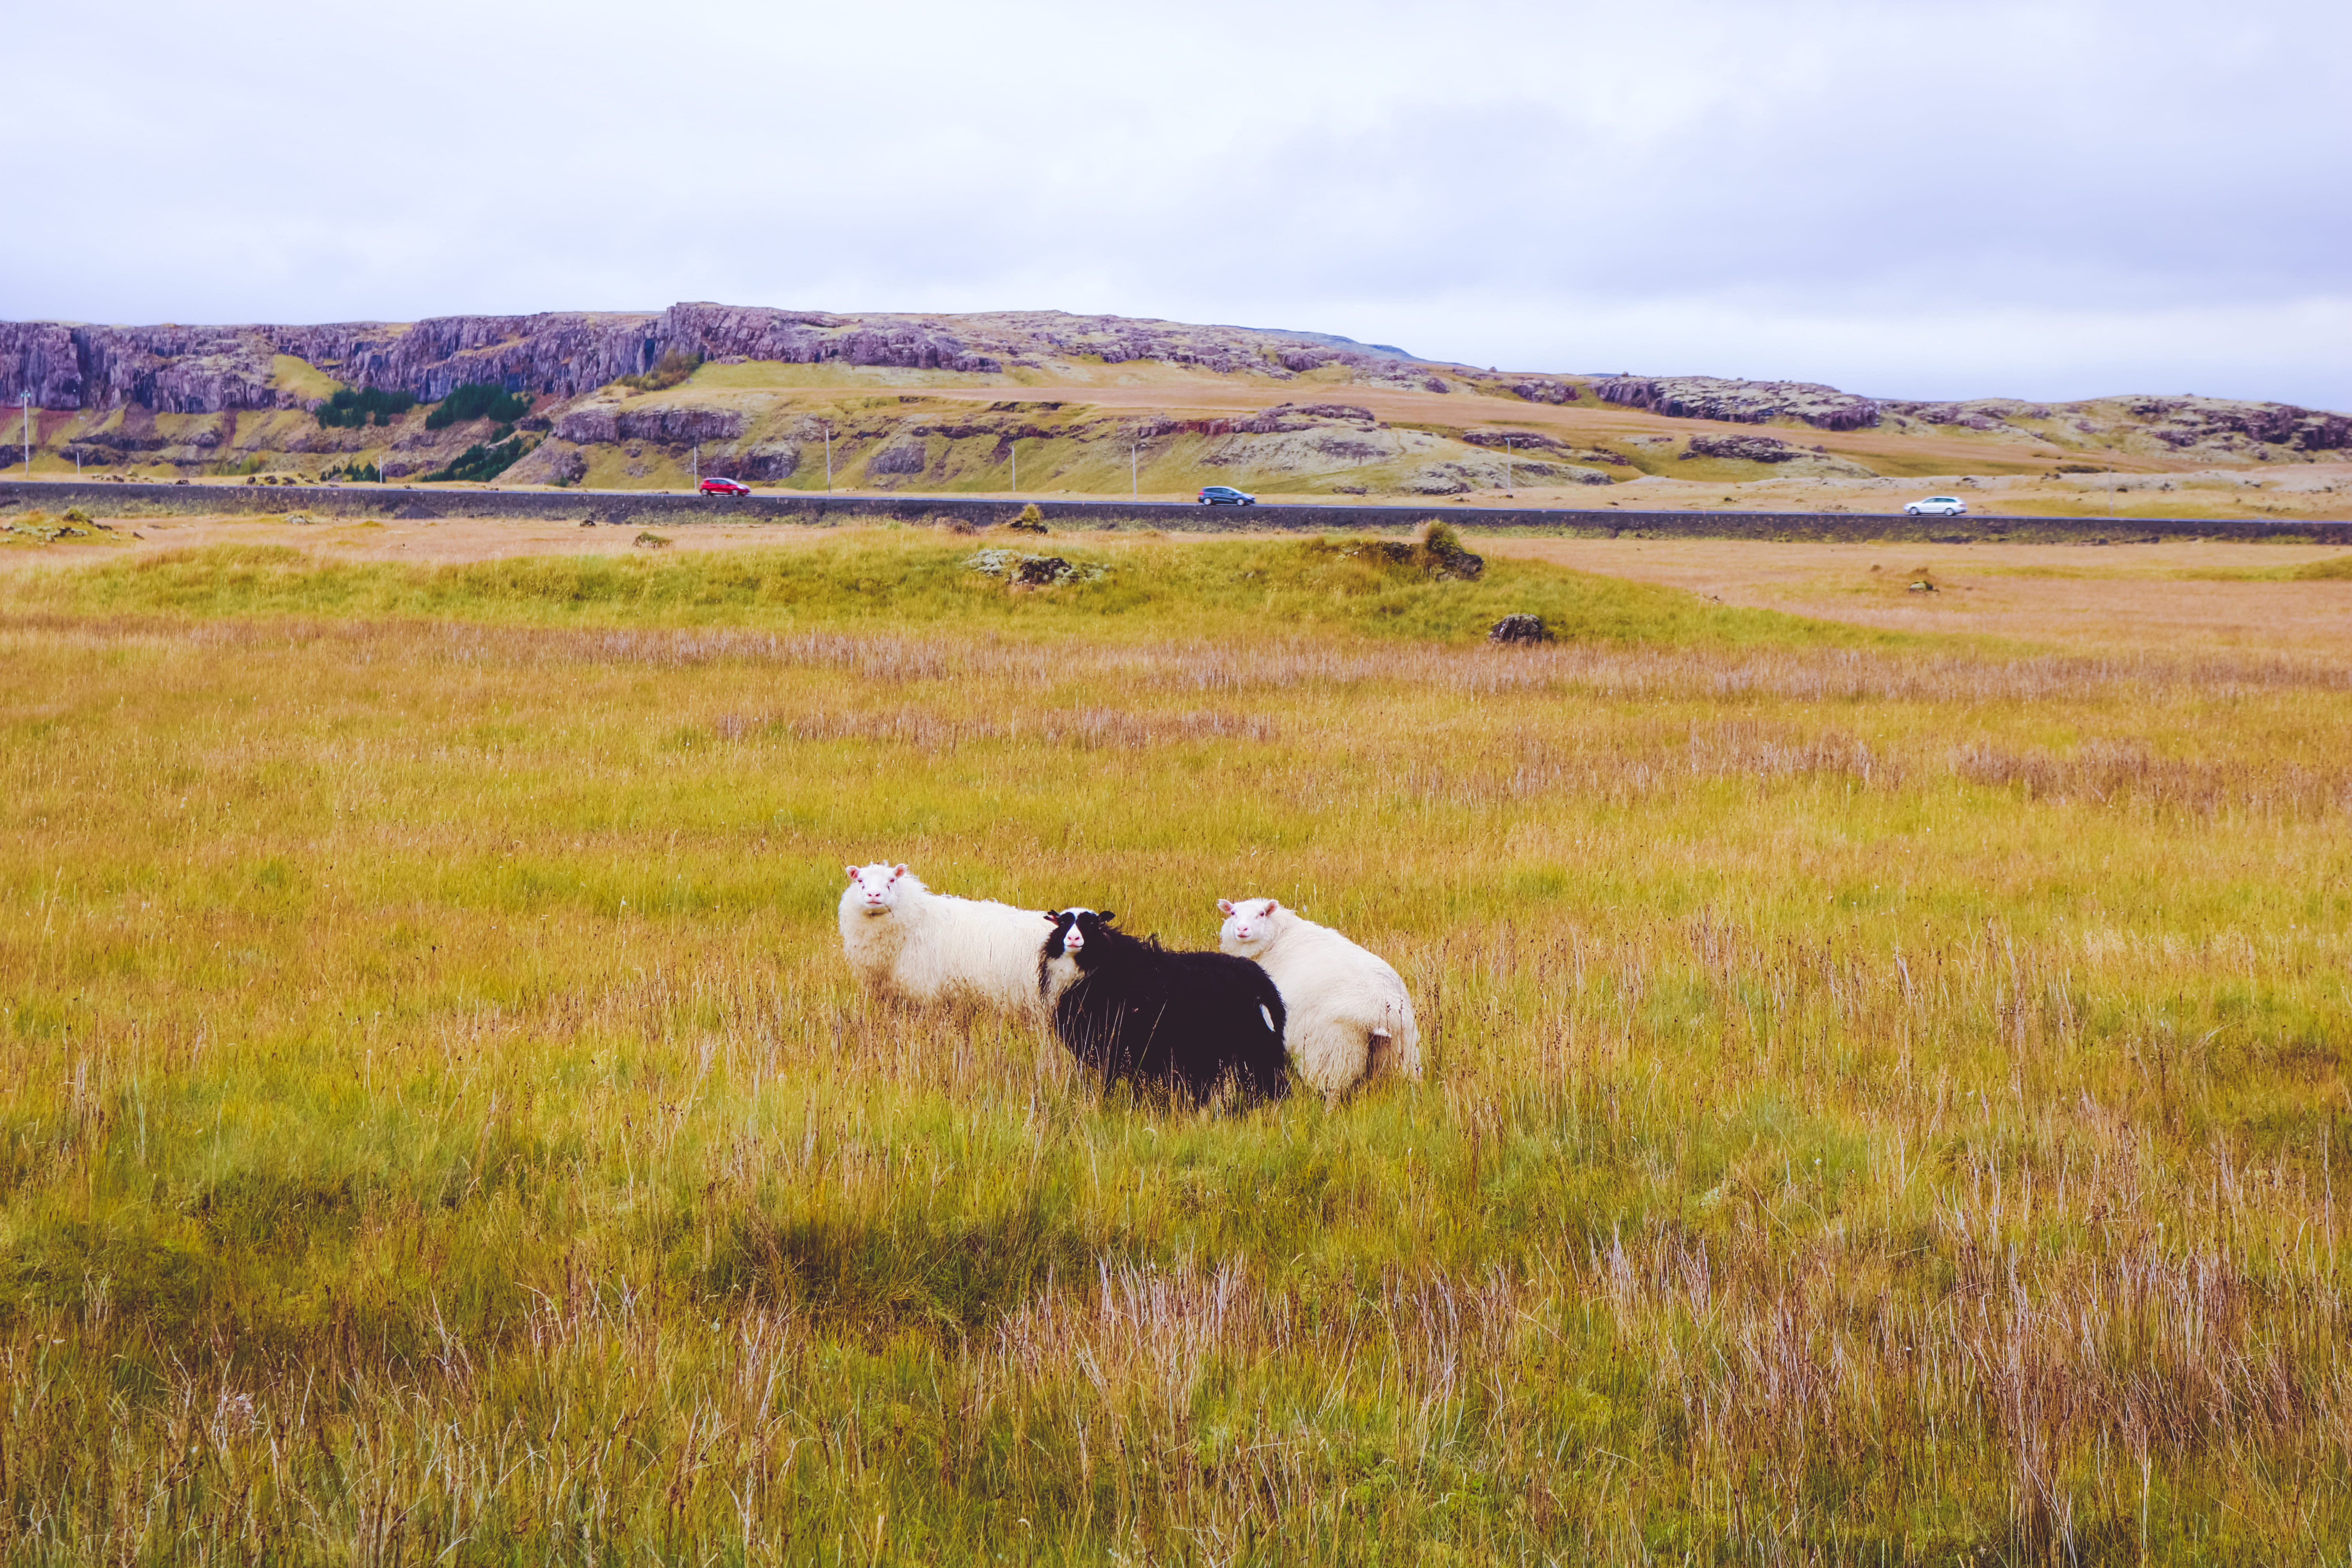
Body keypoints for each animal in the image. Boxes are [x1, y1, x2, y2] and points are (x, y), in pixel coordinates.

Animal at [1044, 907, 1298, 1105]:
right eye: (1062, 922)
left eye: (1092, 924)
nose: (1073, 940)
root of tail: (1263, 984)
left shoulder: (1112, 1047)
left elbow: (1107, 1085)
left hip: (1244, 1045)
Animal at [1223, 893, 1421, 1105]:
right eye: (1233, 913)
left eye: (1261, 914)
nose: (1242, 930)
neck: (1276, 937)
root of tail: (1378, 1016)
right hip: (1400, 1051)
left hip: (1334, 1052)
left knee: (1333, 1090)